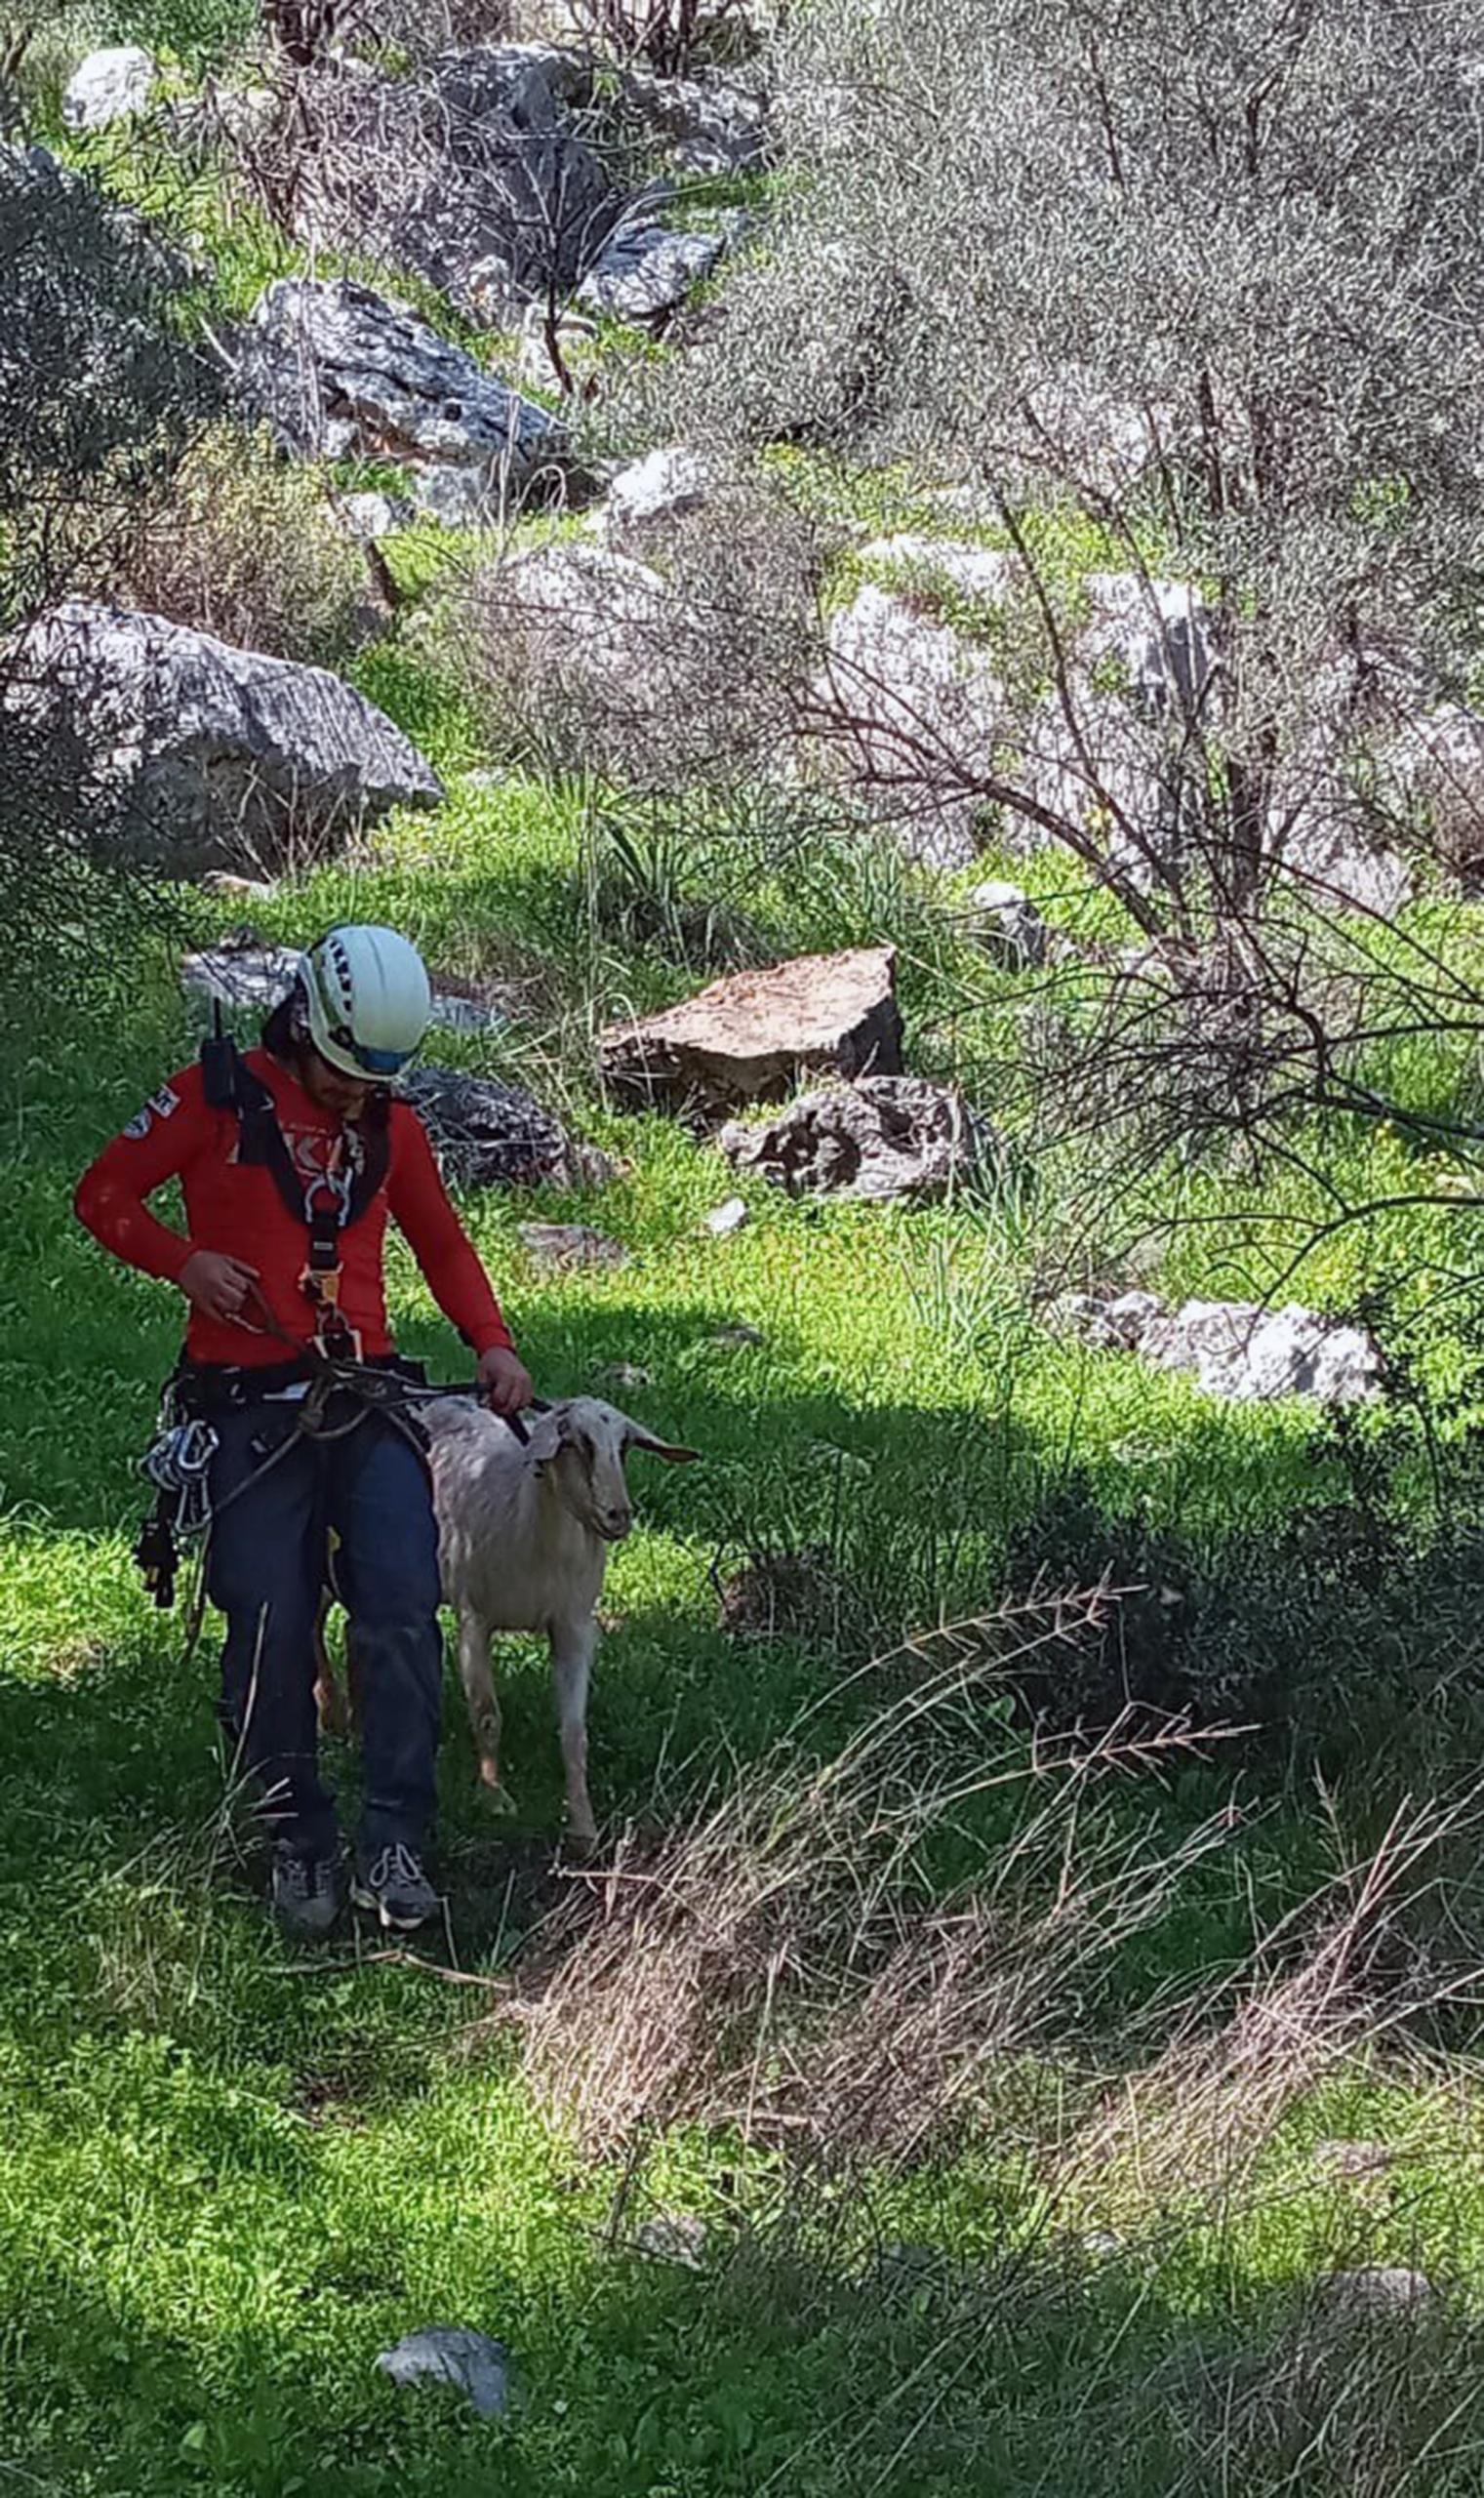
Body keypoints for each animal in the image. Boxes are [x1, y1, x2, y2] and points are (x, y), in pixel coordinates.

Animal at [312, 1408, 694, 1858]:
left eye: (625, 1445)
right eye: (576, 1442)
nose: (619, 1515)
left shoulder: (574, 1628)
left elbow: (574, 1733)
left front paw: (583, 1827)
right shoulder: (474, 1618)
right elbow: (487, 1715)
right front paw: (495, 1797)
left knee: (355, 1627)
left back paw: (356, 1723)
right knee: (313, 1621)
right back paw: (332, 1710)